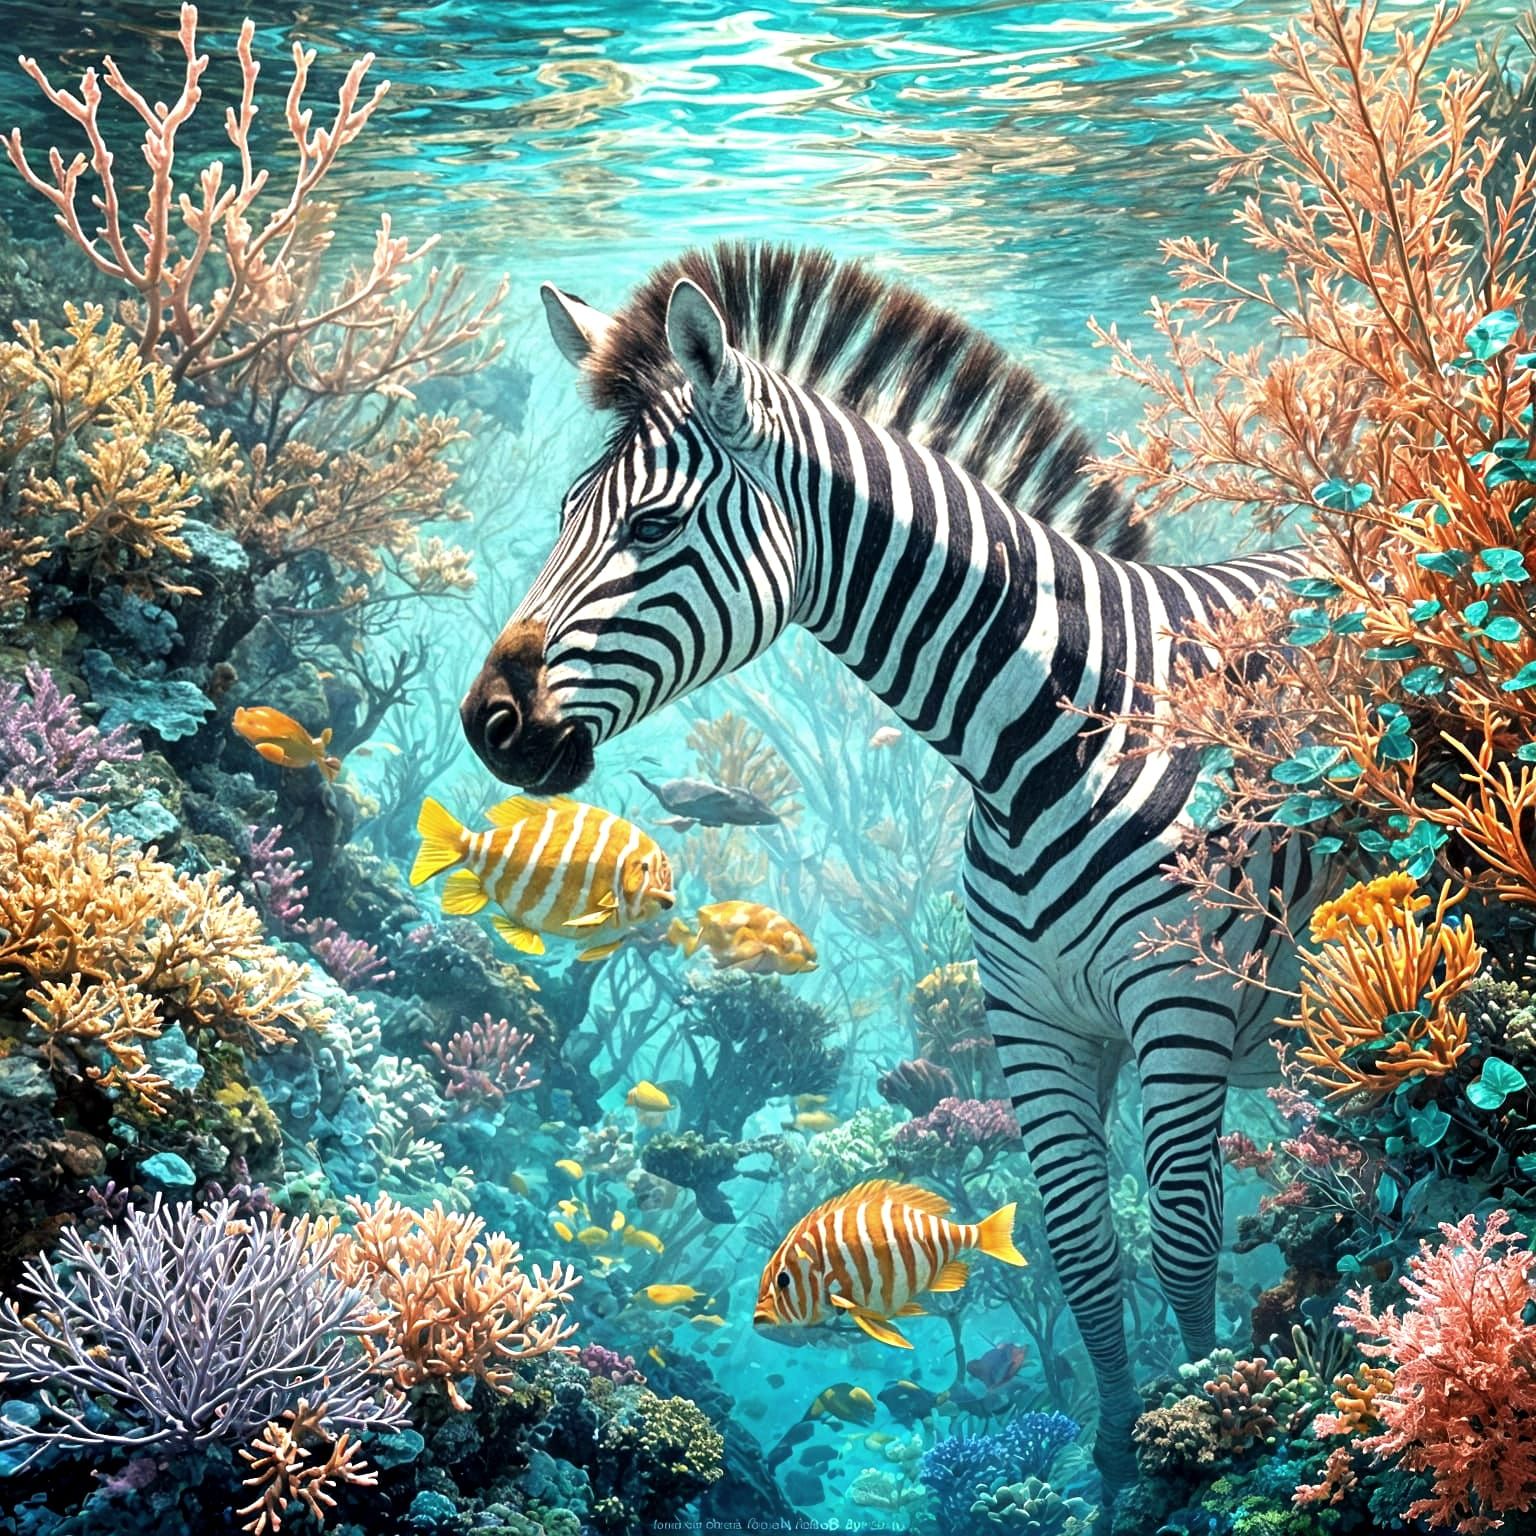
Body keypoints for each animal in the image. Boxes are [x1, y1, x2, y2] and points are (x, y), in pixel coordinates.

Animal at [459, 242, 1315, 1481]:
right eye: (568, 511)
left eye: (653, 530)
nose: (487, 725)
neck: (1043, 739)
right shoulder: (1033, 1023)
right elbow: (1079, 1251)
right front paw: (1115, 1466)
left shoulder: (1183, 1007)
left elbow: (1186, 1238)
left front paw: (1200, 1429)